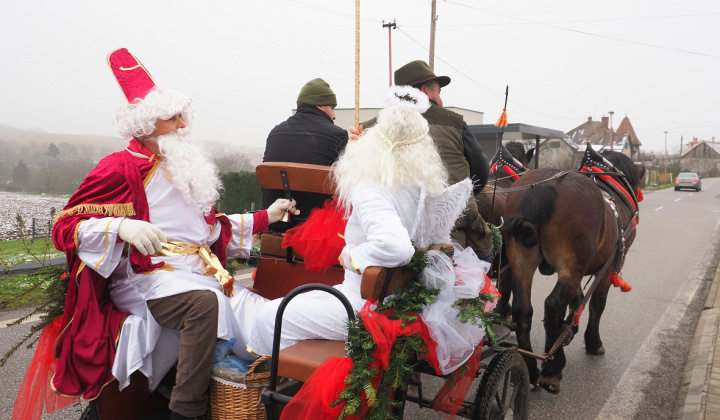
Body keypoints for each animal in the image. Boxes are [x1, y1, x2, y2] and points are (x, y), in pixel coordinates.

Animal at [498, 148, 644, 394]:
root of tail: (543, 188)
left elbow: (577, 300)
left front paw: (567, 331)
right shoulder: (607, 268)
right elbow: (596, 304)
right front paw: (592, 342)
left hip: (523, 262)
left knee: (522, 310)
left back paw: (532, 367)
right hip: (570, 267)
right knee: (552, 306)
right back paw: (552, 368)